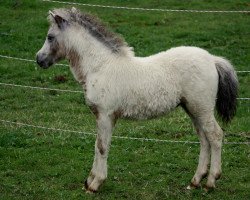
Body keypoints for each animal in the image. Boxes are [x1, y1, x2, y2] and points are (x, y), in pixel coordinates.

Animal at [35, 7, 238, 192]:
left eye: (50, 37)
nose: (39, 59)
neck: (100, 66)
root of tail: (212, 59)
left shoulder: (106, 115)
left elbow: (101, 146)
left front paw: (95, 184)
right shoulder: (102, 116)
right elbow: (97, 145)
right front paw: (88, 181)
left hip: (202, 108)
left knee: (215, 135)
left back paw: (211, 181)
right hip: (192, 109)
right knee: (204, 139)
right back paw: (195, 181)